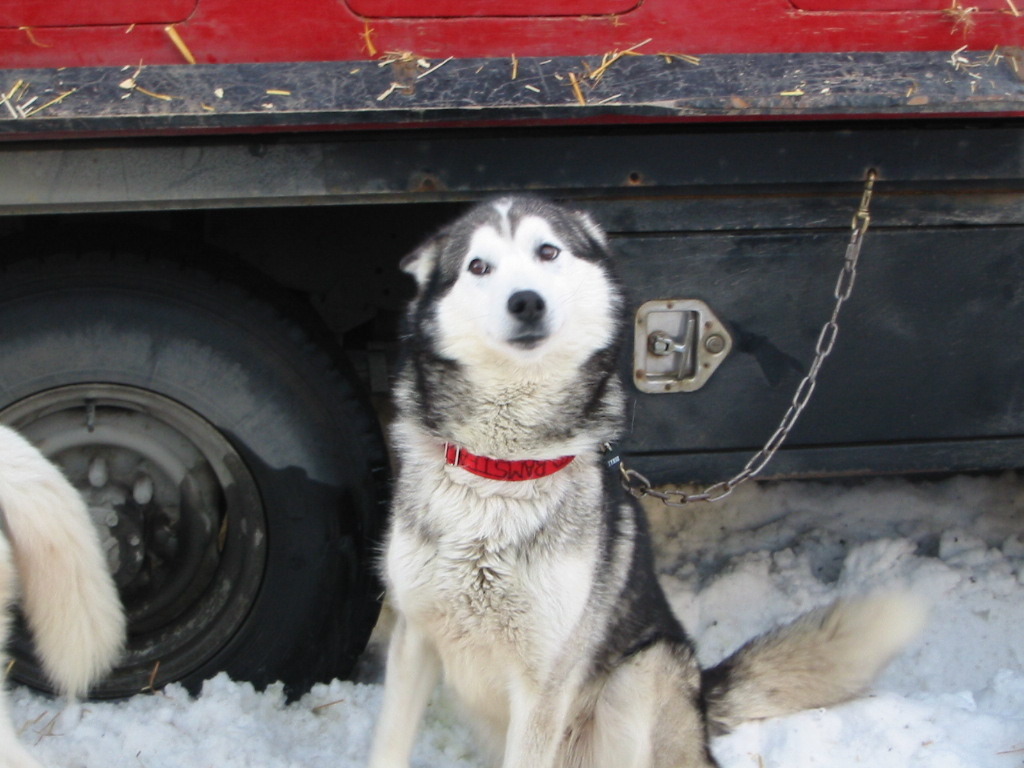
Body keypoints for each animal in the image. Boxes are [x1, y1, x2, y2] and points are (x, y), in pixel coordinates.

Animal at [370, 198, 929, 768]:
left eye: (547, 251)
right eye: (478, 266)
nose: (525, 301)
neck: (502, 470)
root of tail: (700, 697)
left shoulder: (543, 682)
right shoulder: (413, 639)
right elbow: (387, 745)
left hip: (641, 676)